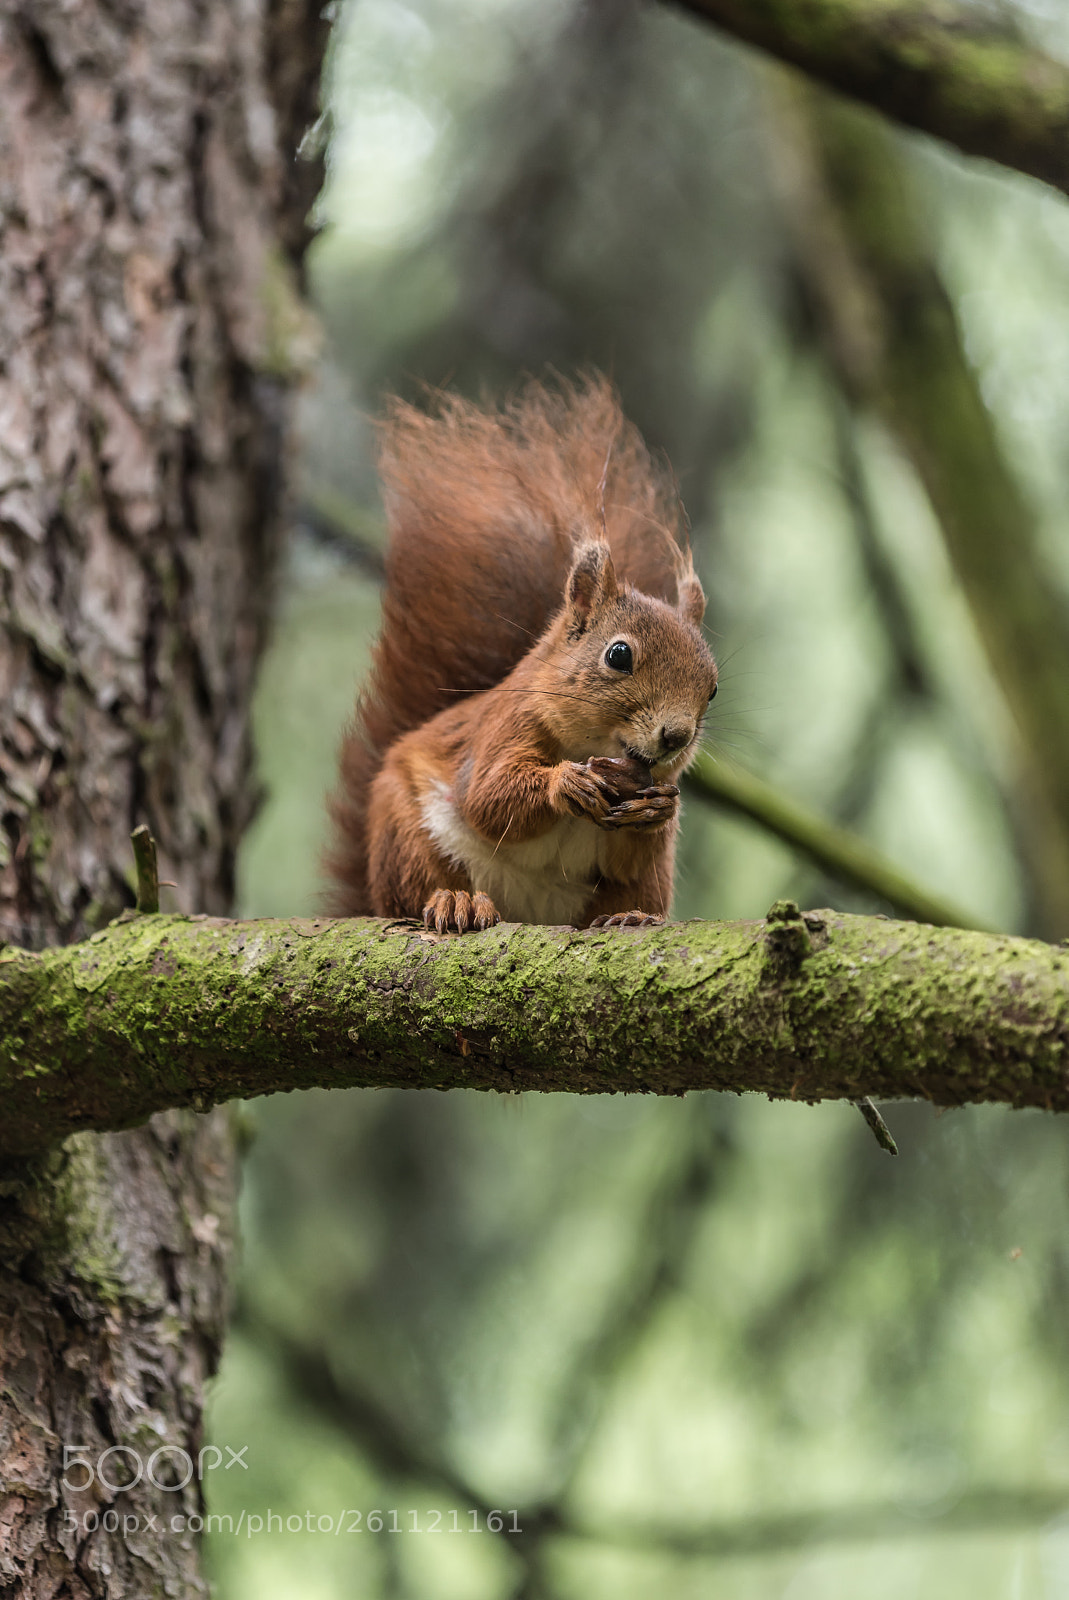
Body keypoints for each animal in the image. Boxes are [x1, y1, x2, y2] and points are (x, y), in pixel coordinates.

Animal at [325, 374, 718, 934]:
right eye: (619, 655)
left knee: (631, 886)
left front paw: (660, 808)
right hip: (404, 832)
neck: (592, 743)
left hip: (641, 883)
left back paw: (631, 916)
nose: (676, 736)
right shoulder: (506, 725)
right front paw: (565, 784)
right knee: (418, 888)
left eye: (713, 689)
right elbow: (489, 797)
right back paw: (456, 902)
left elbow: (630, 854)